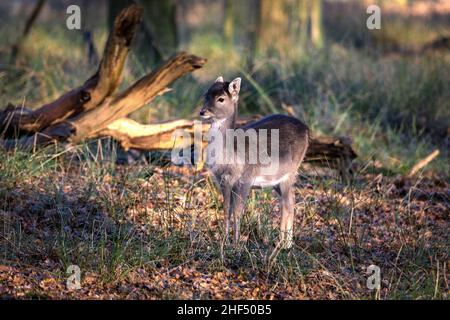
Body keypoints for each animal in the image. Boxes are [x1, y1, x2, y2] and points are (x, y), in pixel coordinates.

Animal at [200, 76, 310, 249]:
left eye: (221, 99)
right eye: (206, 95)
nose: (203, 112)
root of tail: (306, 129)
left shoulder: (246, 178)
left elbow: (238, 212)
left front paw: (236, 245)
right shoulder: (222, 180)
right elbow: (226, 211)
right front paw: (224, 242)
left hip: (289, 172)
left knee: (288, 204)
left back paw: (283, 244)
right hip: (277, 181)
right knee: (290, 202)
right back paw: (286, 243)